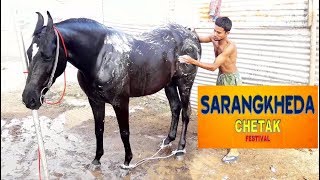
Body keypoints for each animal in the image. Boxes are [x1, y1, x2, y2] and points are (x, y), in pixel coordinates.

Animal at [21, 11, 200, 167]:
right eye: (29, 52)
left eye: (47, 56)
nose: (29, 98)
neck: (101, 57)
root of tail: (191, 34)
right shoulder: (95, 101)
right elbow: (98, 129)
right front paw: (97, 159)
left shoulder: (120, 102)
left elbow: (124, 131)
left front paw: (127, 161)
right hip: (169, 84)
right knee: (175, 108)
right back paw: (168, 140)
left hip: (185, 83)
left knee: (186, 112)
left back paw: (180, 148)